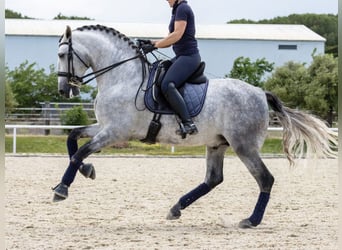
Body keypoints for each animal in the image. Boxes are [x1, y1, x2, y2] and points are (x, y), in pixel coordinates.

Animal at [53, 24, 336, 229]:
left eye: (62, 55)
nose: (64, 90)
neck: (122, 78)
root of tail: (259, 92)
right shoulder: (104, 127)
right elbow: (72, 138)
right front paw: (87, 170)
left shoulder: (115, 132)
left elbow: (80, 151)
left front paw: (62, 189)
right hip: (217, 144)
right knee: (213, 179)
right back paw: (176, 208)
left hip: (244, 146)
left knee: (265, 179)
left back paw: (250, 220)